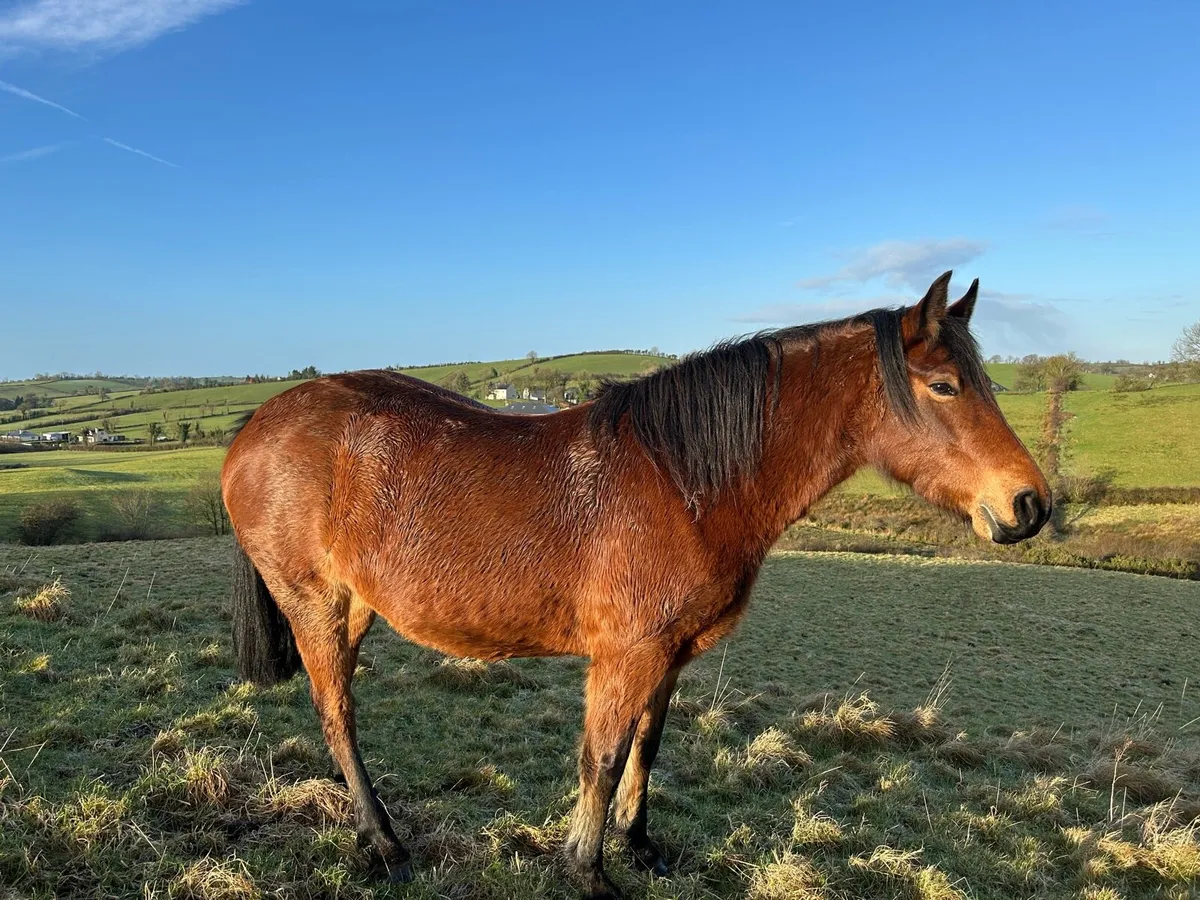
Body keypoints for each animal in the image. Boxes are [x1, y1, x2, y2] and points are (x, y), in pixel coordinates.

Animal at [221, 271, 1050, 899]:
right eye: (944, 385)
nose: (1030, 504)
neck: (684, 482)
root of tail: (254, 426)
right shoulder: (626, 654)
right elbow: (603, 755)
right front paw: (586, 869)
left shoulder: (670, 654)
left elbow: (646, 747)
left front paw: (639, 844)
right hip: (314, 605)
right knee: (339, 713)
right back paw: (384, 841)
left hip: (355, 606)